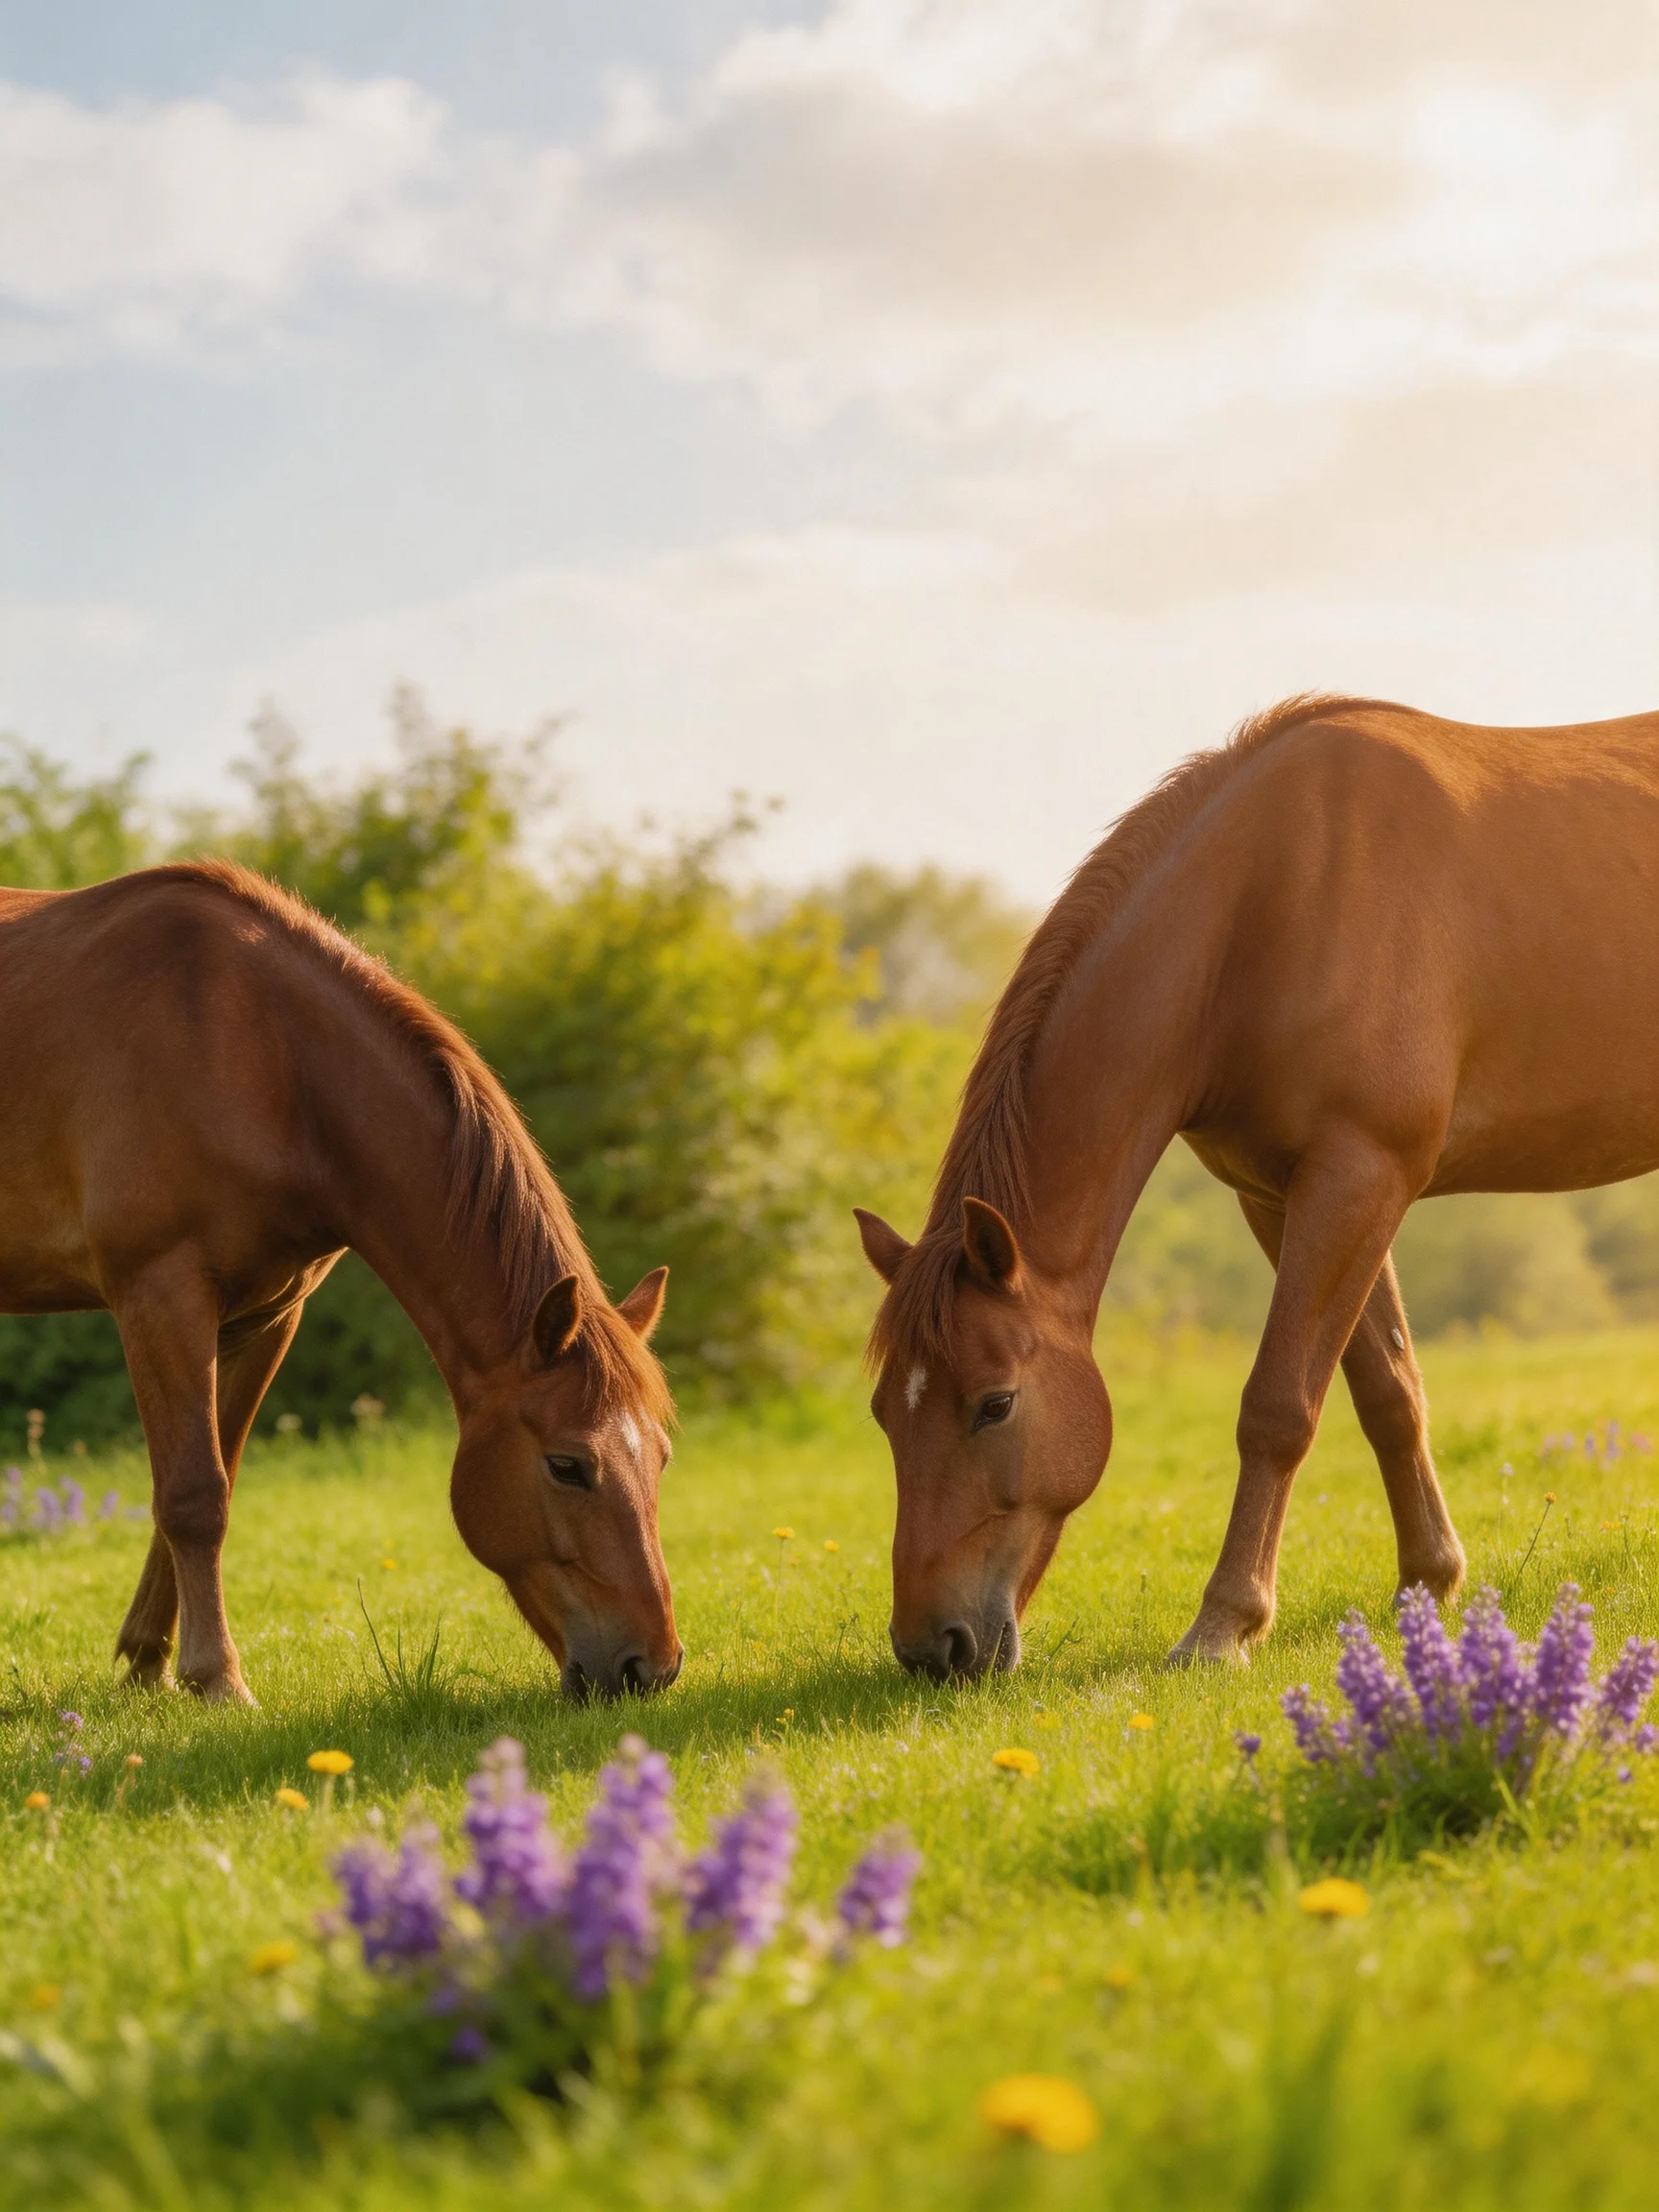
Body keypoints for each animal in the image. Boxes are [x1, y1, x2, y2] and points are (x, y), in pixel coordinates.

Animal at [0, 859, 680, 1704]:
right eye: (567, 1466)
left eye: (661, 1456)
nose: (652, 1667)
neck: (258, 1051)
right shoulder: (160, 1295)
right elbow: (193, 1495)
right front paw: (216, 1677)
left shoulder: (262, 1317)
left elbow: (206, 1480)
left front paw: (149, 1663)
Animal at [855, 693, 1659, 1678]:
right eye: (884, 1412)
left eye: (995, 1404)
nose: (933, 1648)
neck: (1273, 901)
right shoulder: (1287, 1197)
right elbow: (1387, 1392)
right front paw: (1426, 1586)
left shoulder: (1359, 1176)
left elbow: (1278, 1408)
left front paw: (1224, 1624)